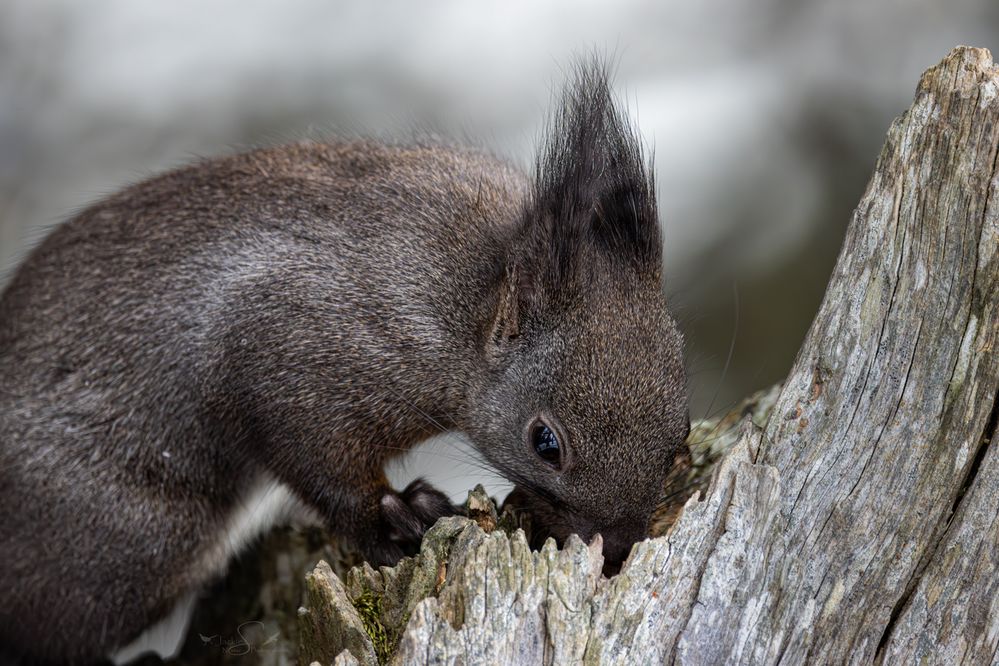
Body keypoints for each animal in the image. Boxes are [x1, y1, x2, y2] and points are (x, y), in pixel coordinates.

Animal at [0, 63, 688, 664]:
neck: (466, 305)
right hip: (121, 546)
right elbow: (322, 467)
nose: (616, 549)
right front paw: (398, 517)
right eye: (546, 442)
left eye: (680, 432)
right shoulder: (299, 360)